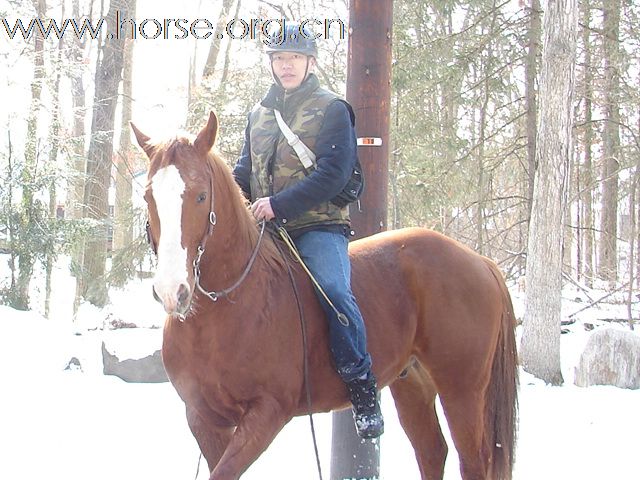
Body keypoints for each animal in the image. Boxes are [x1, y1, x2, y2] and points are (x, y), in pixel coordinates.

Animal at [131, 112, 520, 480]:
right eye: (149, 196)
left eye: (200, 196)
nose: (172, 291)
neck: (225, 309)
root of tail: (480, 261)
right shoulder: (203, 417)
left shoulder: (267, 412)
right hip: (413, 383)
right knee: (431, 451)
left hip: (462, 389)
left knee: (473, 462)